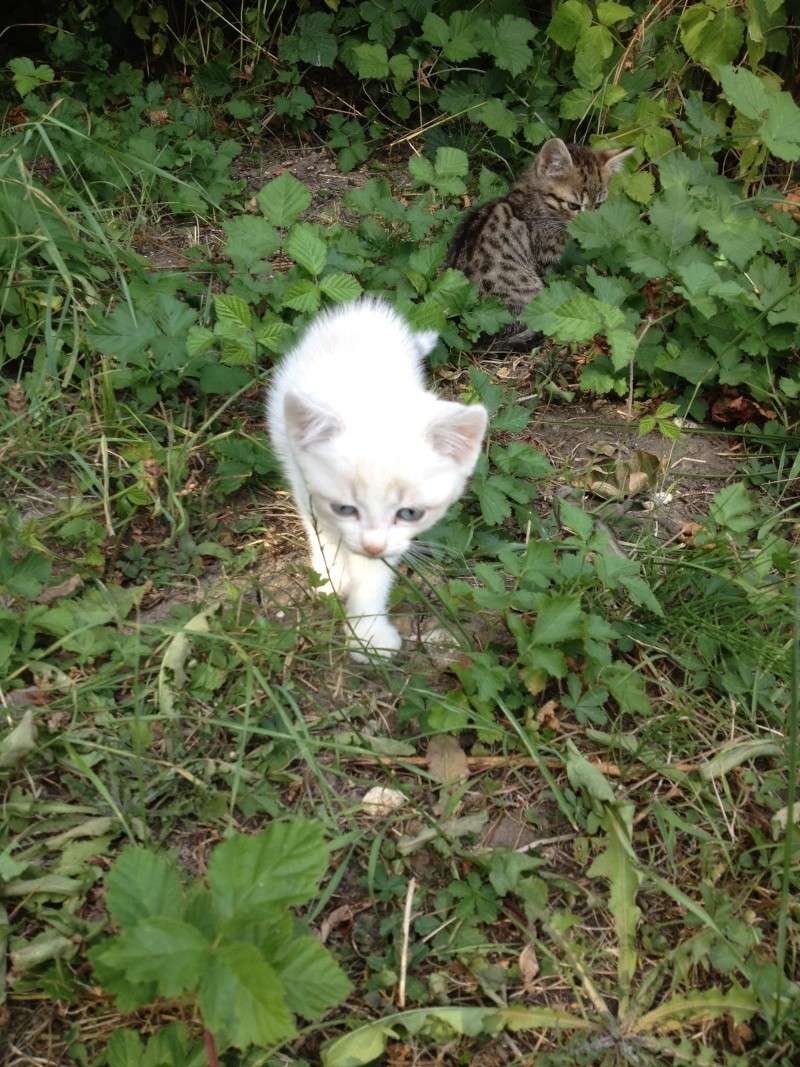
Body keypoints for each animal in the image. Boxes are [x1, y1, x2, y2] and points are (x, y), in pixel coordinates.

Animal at [266, 294, 486, 657]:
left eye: (409, 513)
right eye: (345, 508)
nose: (372, 546)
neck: (368, 395)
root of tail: (366, 310)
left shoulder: (394, 539)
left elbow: (375, 572)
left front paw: (367, 633)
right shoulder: (302, 478)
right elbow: (323, 530)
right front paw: (332, 576)